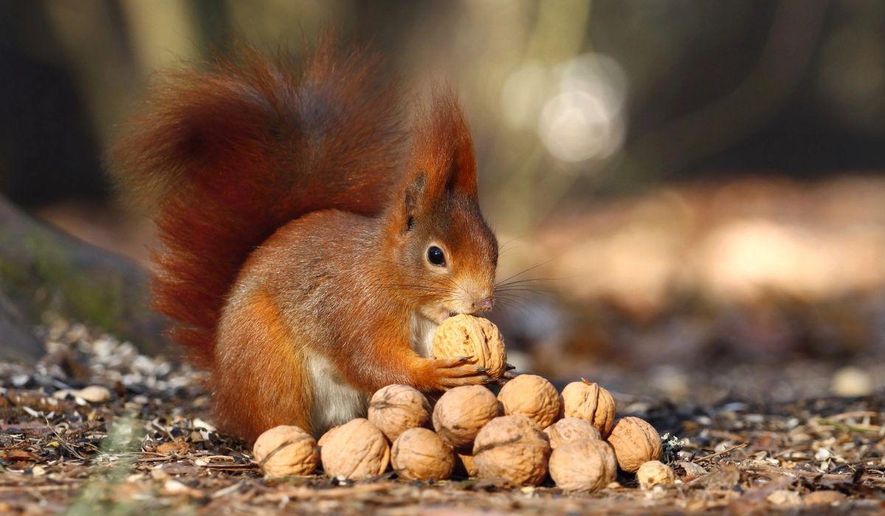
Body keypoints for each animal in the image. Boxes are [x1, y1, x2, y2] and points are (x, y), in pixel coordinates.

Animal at [109, 42, 499, 442]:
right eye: (435, 255)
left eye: (494, 247)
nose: (484, 303)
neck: (391, 278)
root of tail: (225, 394)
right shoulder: (358, 310)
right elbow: (370, 361)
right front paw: (434, 373)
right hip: (267, 361)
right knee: (277, 416)